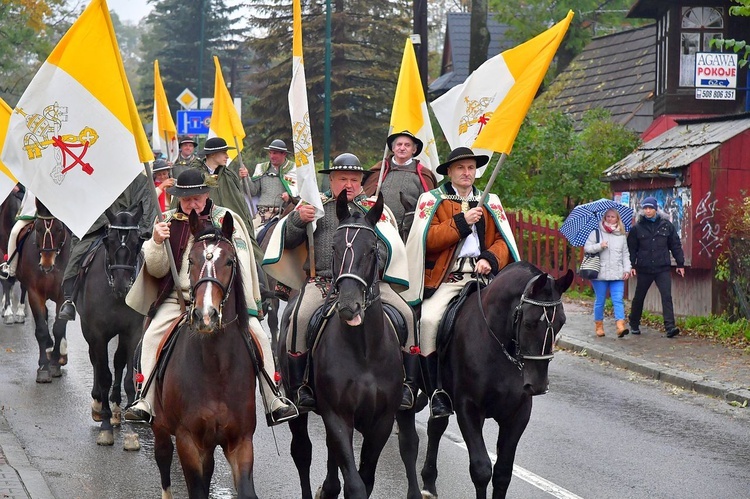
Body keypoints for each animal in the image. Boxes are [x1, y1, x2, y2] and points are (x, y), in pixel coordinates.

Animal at [15, 201, 71, 384]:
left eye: (59, 228)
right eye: (38, 228)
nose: (46, 264)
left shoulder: (63, 295)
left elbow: (59, 328)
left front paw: (54, 364)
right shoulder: (34, 293)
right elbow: (41, 328)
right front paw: (44, 368)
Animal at [78, 205, 145, 448]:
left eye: (137, 242)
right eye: (111, 241)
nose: (122, 285)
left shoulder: (132, 332)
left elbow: (127, 378)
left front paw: (130, 432)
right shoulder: (98, 333)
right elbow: (104, 373)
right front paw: (105, 425)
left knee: (117, 362)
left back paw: (115, 408)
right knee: (96, 362)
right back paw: (99, 404)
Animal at [151, 212, 260, 499]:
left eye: (230, 261)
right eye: (191, 260)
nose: (205, 315)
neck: (217, 366)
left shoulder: (240, 441)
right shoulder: (188, 440)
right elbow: (197, 489)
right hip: (161, 427)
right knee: (163, 459)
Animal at [400, 262, 576, 499]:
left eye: (561, 322)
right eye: (529, 323)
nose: (538, 385)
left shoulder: (518, 414)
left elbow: (503, 473)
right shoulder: (469, 410)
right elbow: (481, 469)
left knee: (435, 427)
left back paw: (428, 482)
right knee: (410, 437)